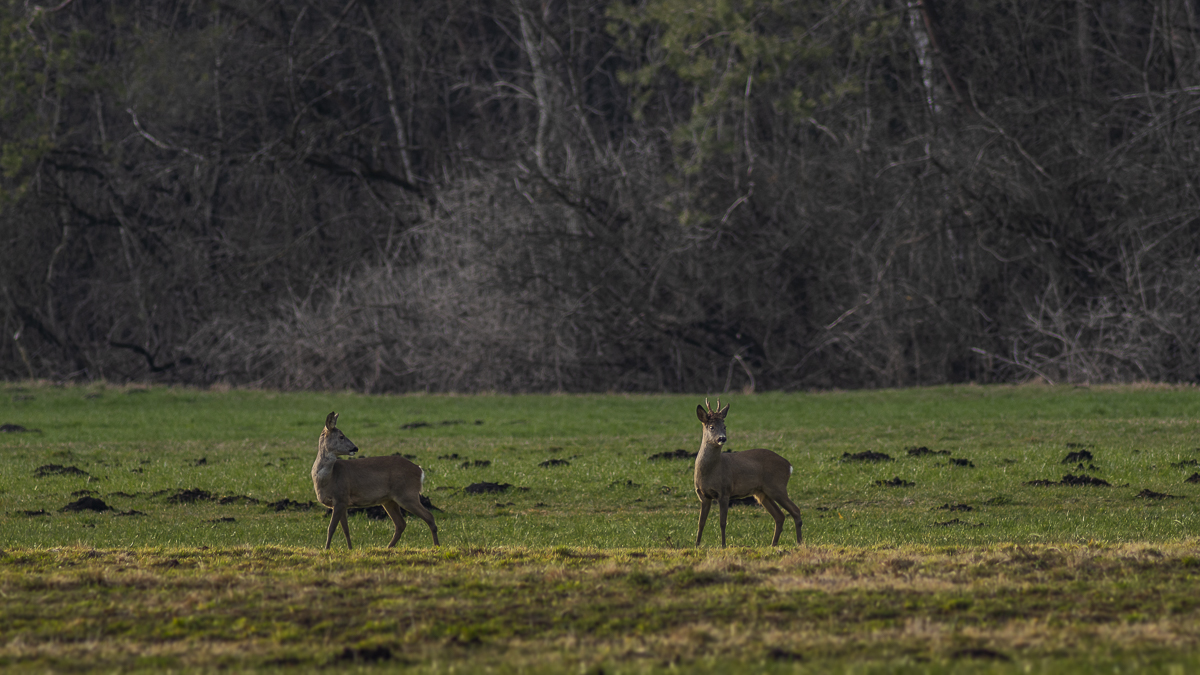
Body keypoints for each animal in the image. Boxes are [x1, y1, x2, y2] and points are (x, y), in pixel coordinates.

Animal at [312, 410, 439, 547]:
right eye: (341, 436)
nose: (355, 448)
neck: (329, 478)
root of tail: (419, 470)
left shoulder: (341, 498)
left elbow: (331, 528)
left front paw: (326, 549)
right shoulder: (341, 503)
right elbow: (345, 530)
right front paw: (350, 549)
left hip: (407, 494)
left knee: (429, 516)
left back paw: (436, 546)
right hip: (389, 500)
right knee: (401, 524)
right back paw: (388, 547)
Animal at [696, 393, 806, 547]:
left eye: (724, 426)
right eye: (711, 427)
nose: (722, 438)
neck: (709, 471)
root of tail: (789, 465)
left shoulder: (725, 491)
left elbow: (722, 522)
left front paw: (723, 546)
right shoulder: (703, 495)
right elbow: (701, 523)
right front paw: (696, 545)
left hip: (777, 486)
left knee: (795, 510)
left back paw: (799, 543)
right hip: (762, 493)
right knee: (780, 516)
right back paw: (773, 544)